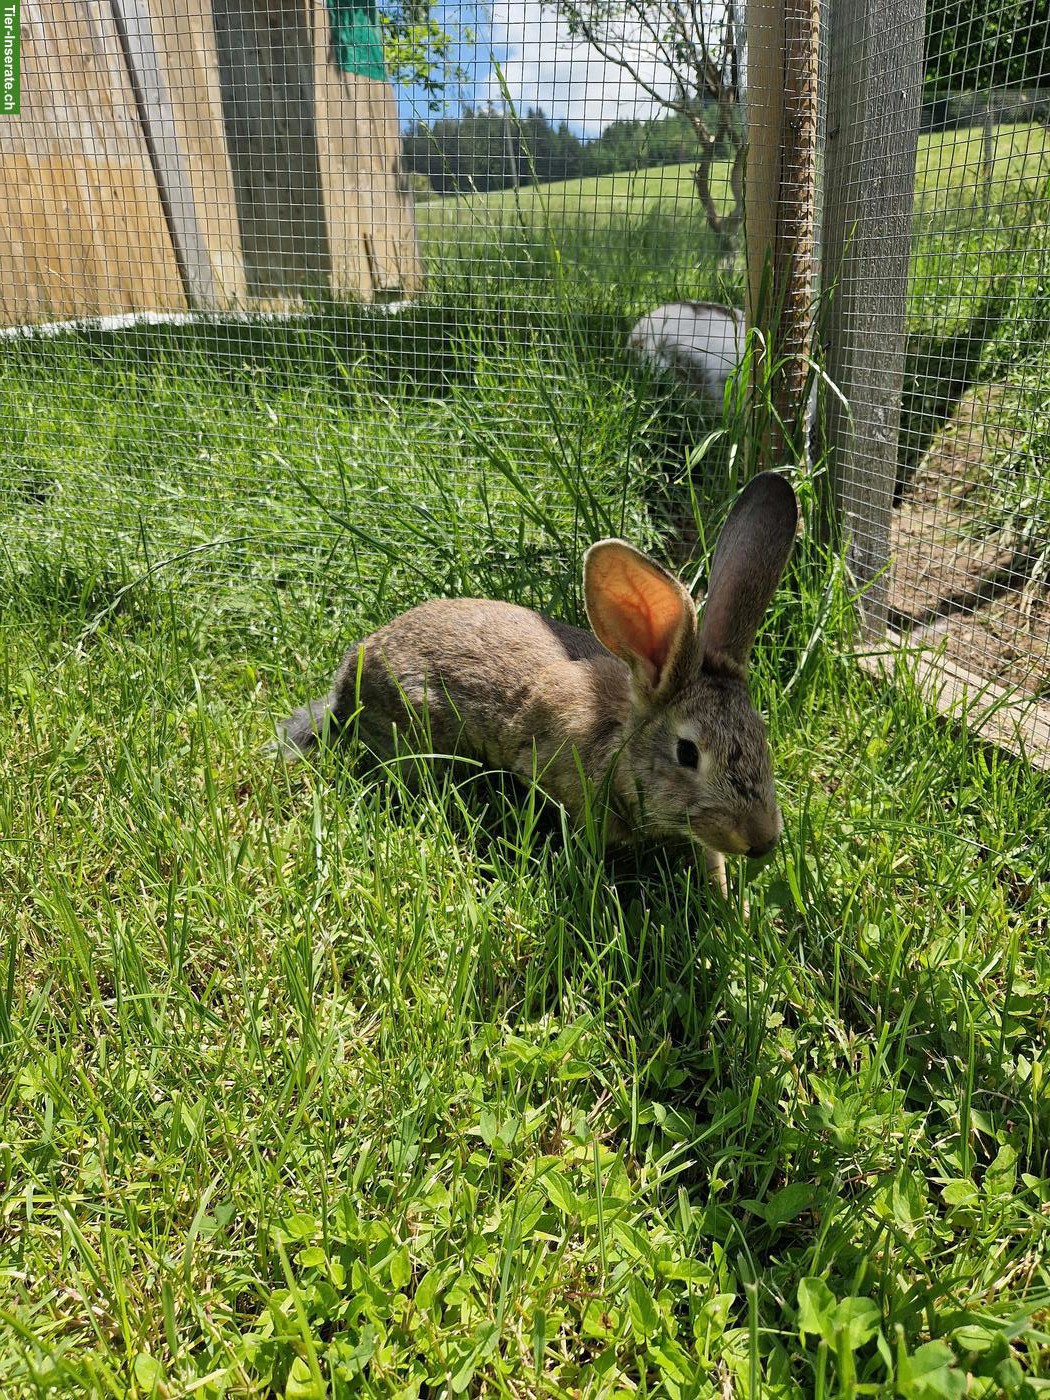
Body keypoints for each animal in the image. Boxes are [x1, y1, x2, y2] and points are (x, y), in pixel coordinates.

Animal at [277, 471, 798, 896]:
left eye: (762, 735)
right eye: (687, 753)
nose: (762, 840)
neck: (622, 744)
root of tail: (347, 681)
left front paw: (728, 900)